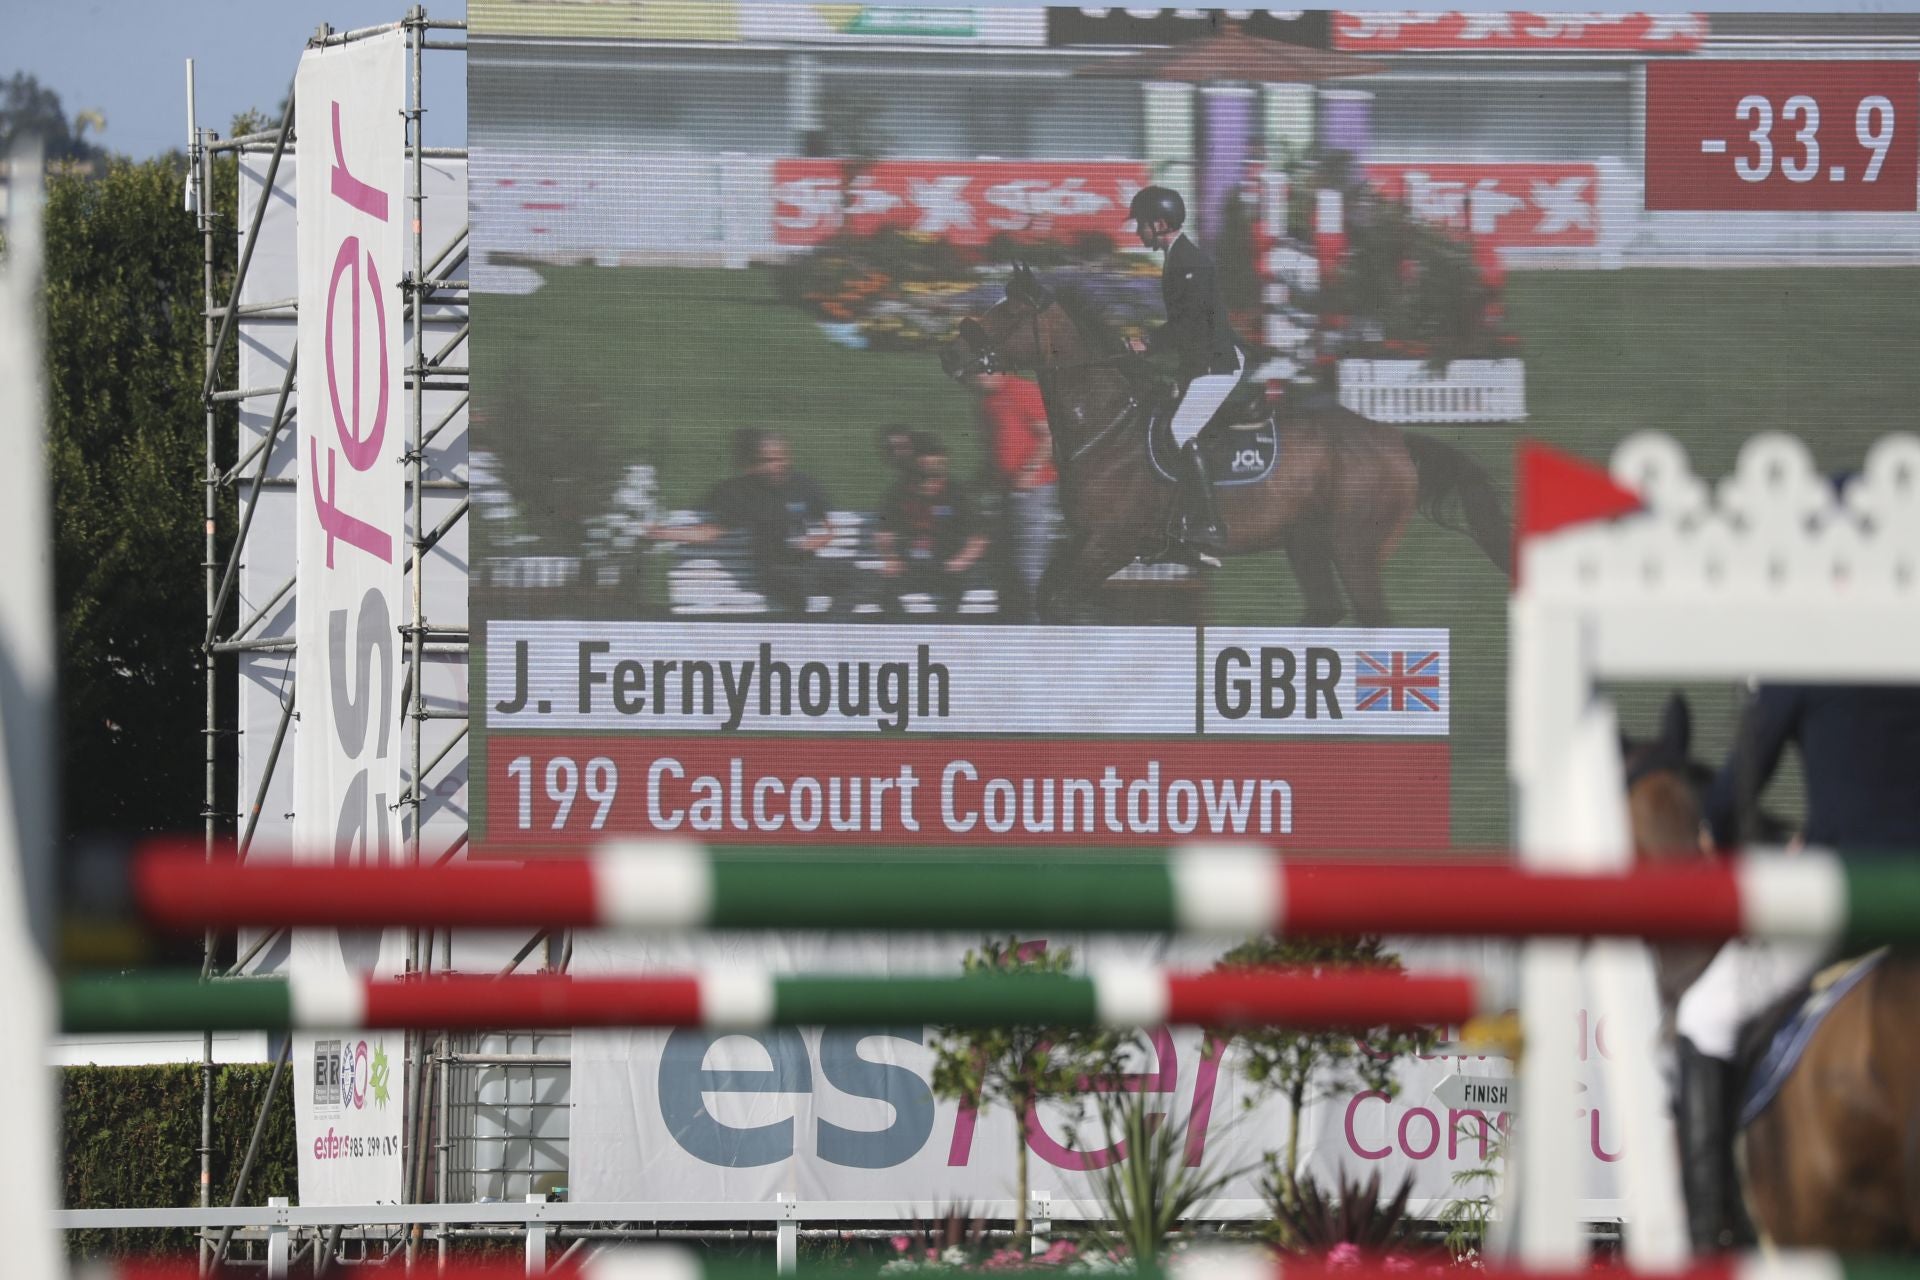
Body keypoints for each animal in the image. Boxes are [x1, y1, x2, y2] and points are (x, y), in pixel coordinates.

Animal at [936, 268, 1505, 625]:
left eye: (1007, 313)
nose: (950, 354)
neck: (1107, 424)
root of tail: (1394, 438)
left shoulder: (1112, 542)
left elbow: (1061, 604)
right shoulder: (1087, 541)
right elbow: (1048, 599)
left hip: (1355, 549)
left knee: (1372, 619)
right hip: (1306, 544)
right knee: (1325, 611)